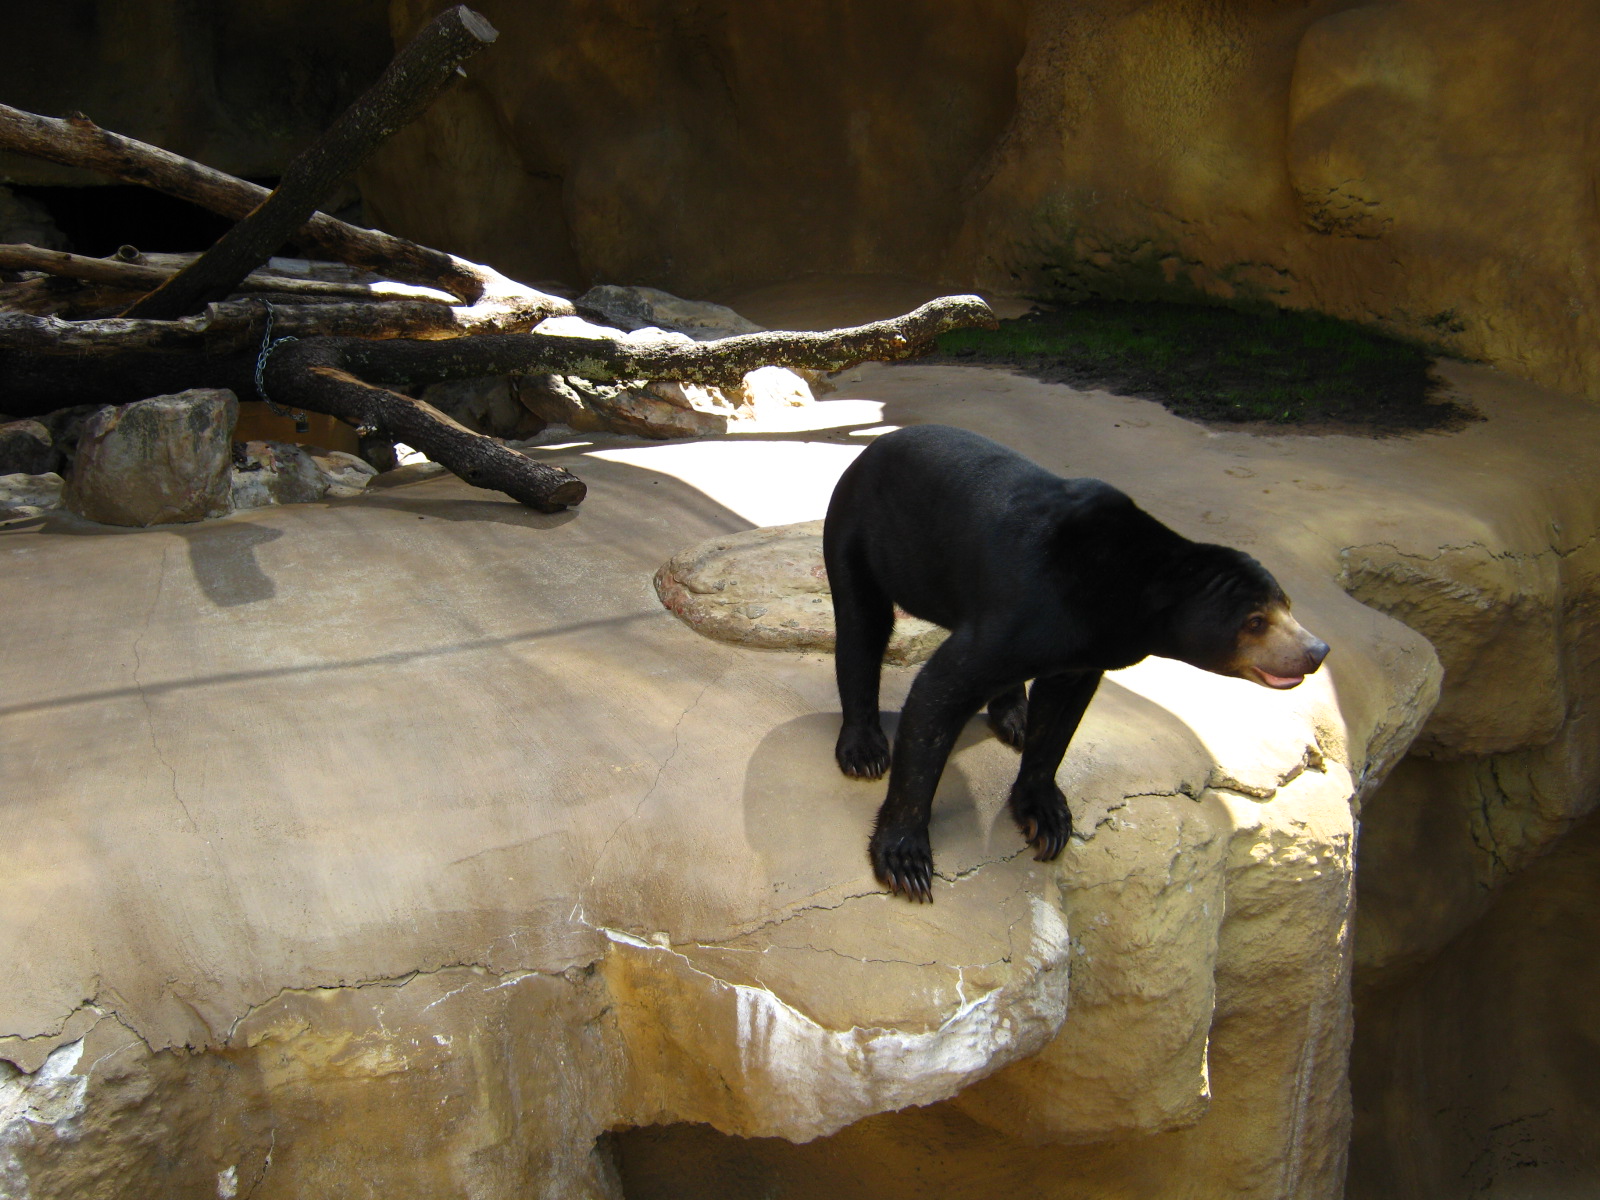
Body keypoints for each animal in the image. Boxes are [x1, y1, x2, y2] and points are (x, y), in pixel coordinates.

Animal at [823, 424, 1329, 902]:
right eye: (1255, 622)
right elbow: (940, 692)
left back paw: (1014, 716)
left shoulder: (1082, 653)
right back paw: (865, 750)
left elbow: (1059, 720)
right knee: (861, 624)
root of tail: (870, 450)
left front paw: (1046, 819)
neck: (1126, 591)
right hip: (857, 532)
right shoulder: (1029, 608)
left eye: (1286, 604)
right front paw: (905, 861)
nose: (1316, 651)